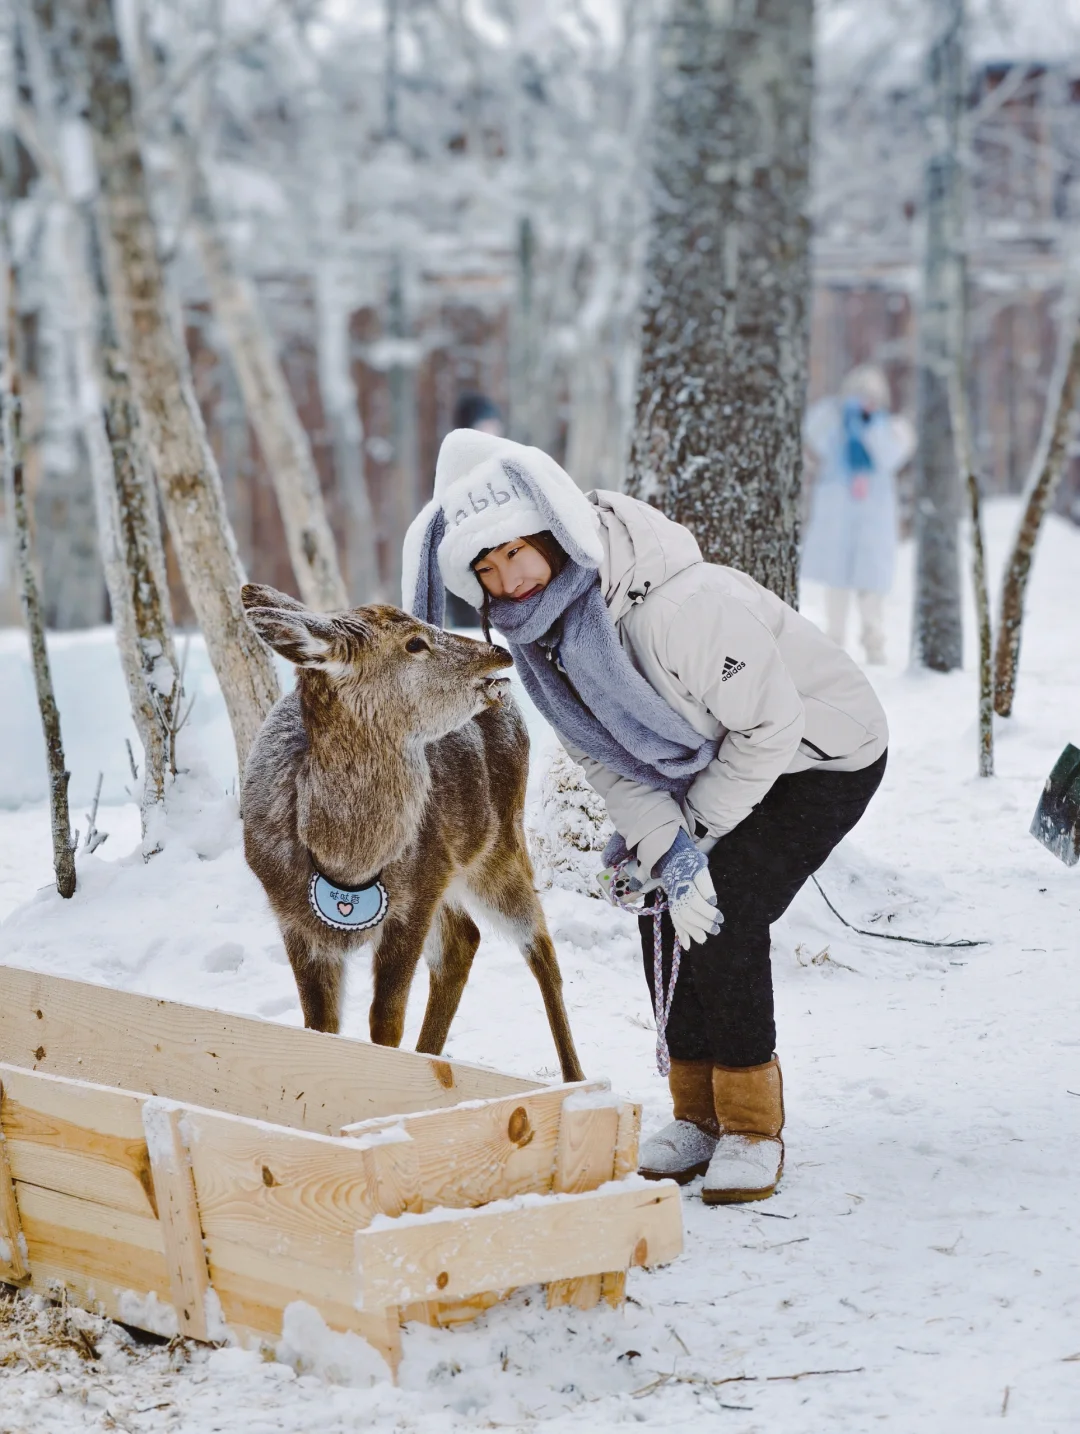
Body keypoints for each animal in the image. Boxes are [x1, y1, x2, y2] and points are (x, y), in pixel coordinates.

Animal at [239, 587, 585, 1078]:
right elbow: (319, 1024)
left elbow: (385, 1022)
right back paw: (431, 1057)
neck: (345, 862)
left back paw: (576, 1078)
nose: (498, 652)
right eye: (414, 643)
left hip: (497, 842)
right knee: (465, 940)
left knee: (539, 945)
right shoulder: (292, 918)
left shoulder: (415, 897)